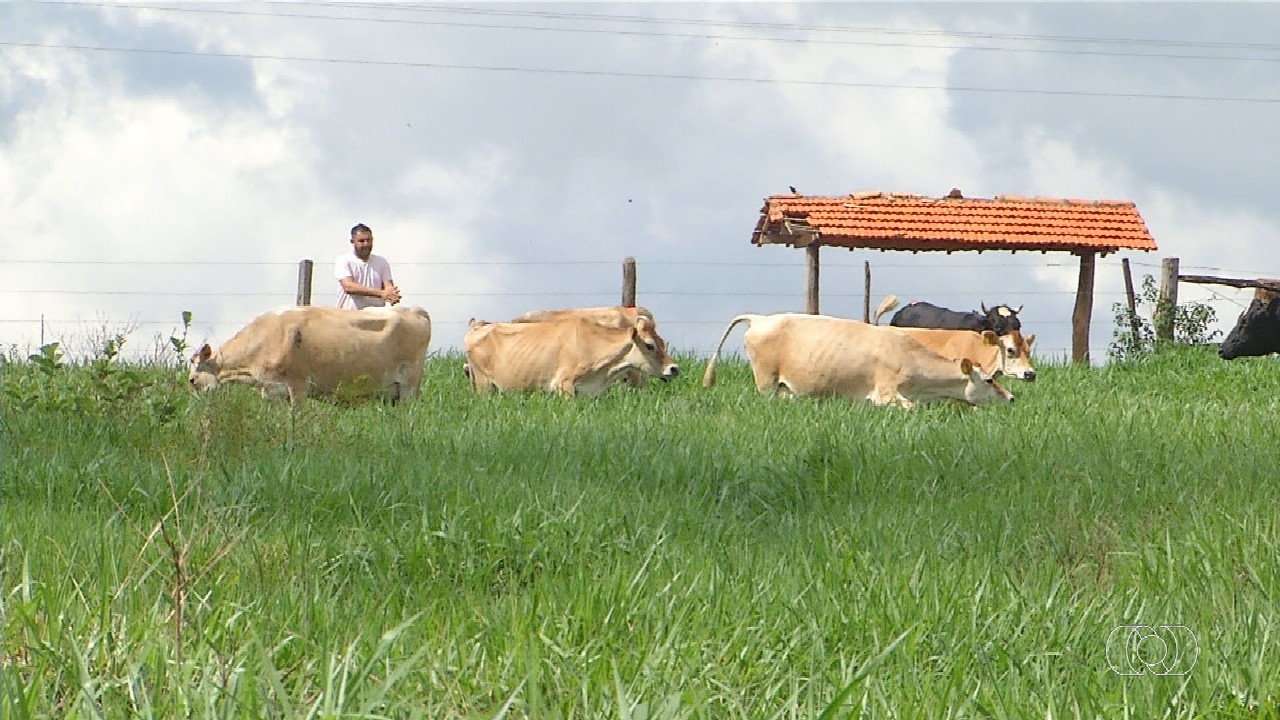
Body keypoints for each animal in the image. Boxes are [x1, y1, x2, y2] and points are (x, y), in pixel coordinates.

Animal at [463, 312, 680, 394]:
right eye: (650, 345)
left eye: (662, 342)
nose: (674, 368)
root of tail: (477, 327)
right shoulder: (564, 385)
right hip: (484, 384)